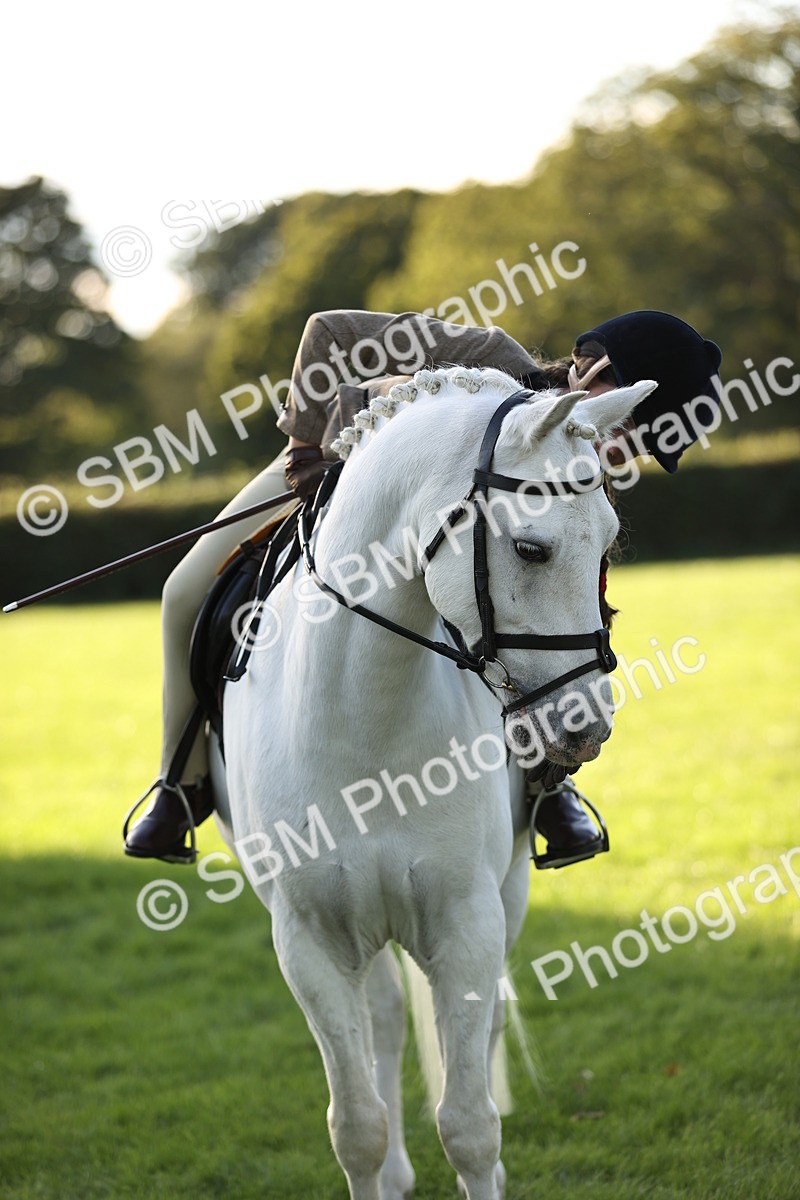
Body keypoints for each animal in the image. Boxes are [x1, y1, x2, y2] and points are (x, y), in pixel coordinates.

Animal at [208, 365, 655, 1200]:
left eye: (609, 542)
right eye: (531, 548)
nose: (587, 728)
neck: (366, 715)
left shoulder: (465, 920)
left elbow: (470, 1125)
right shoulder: (308, 939)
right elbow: (355, 1126)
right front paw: (377, 1163)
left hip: (503, 895)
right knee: (383, 1021)